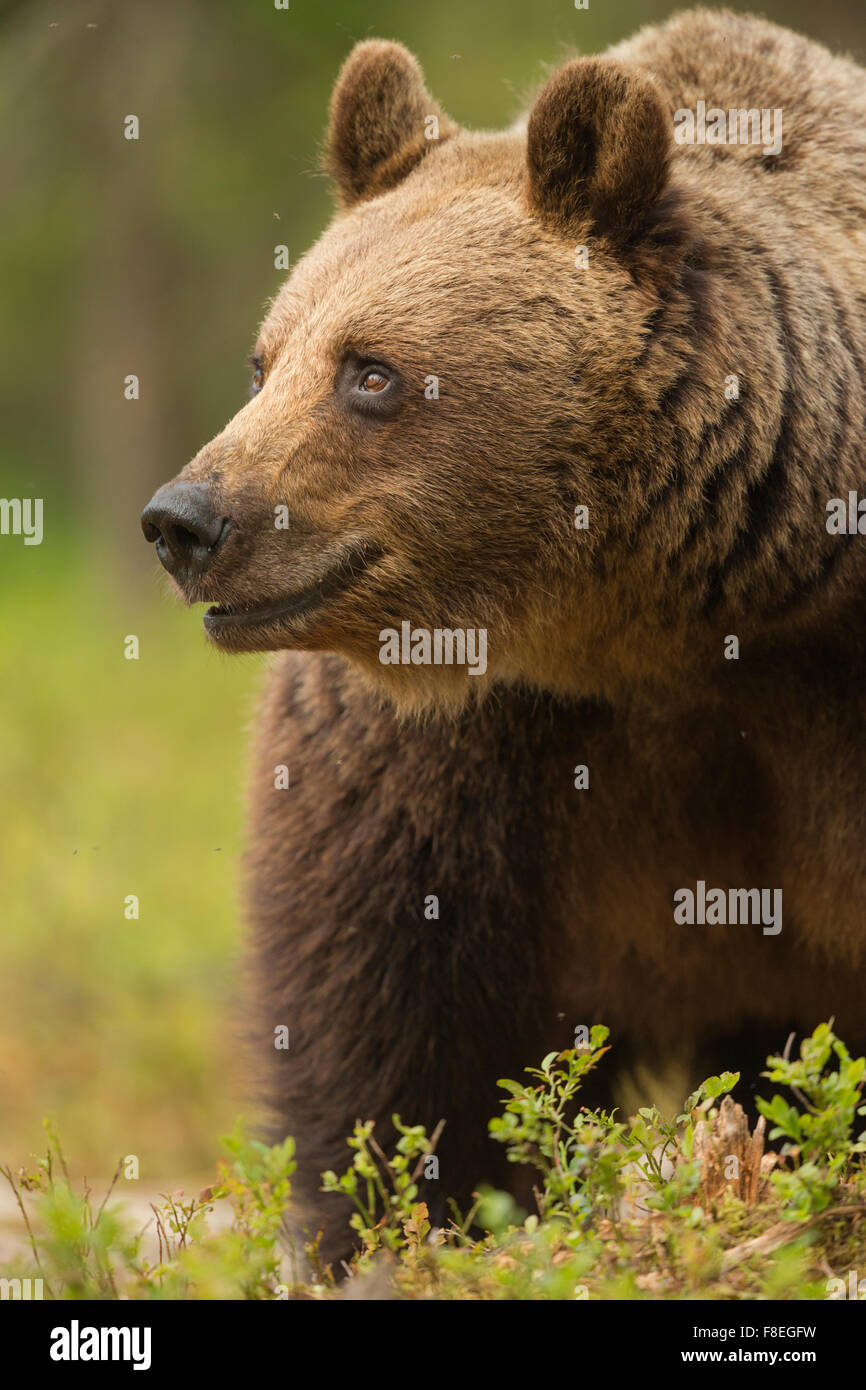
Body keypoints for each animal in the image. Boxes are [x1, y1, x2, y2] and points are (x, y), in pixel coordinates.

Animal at [141, 7, 866, 1264]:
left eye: (370, 371)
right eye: (264, 358)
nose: (186, 519)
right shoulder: (456, 735)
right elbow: (391, 999)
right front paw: (390, 1221)